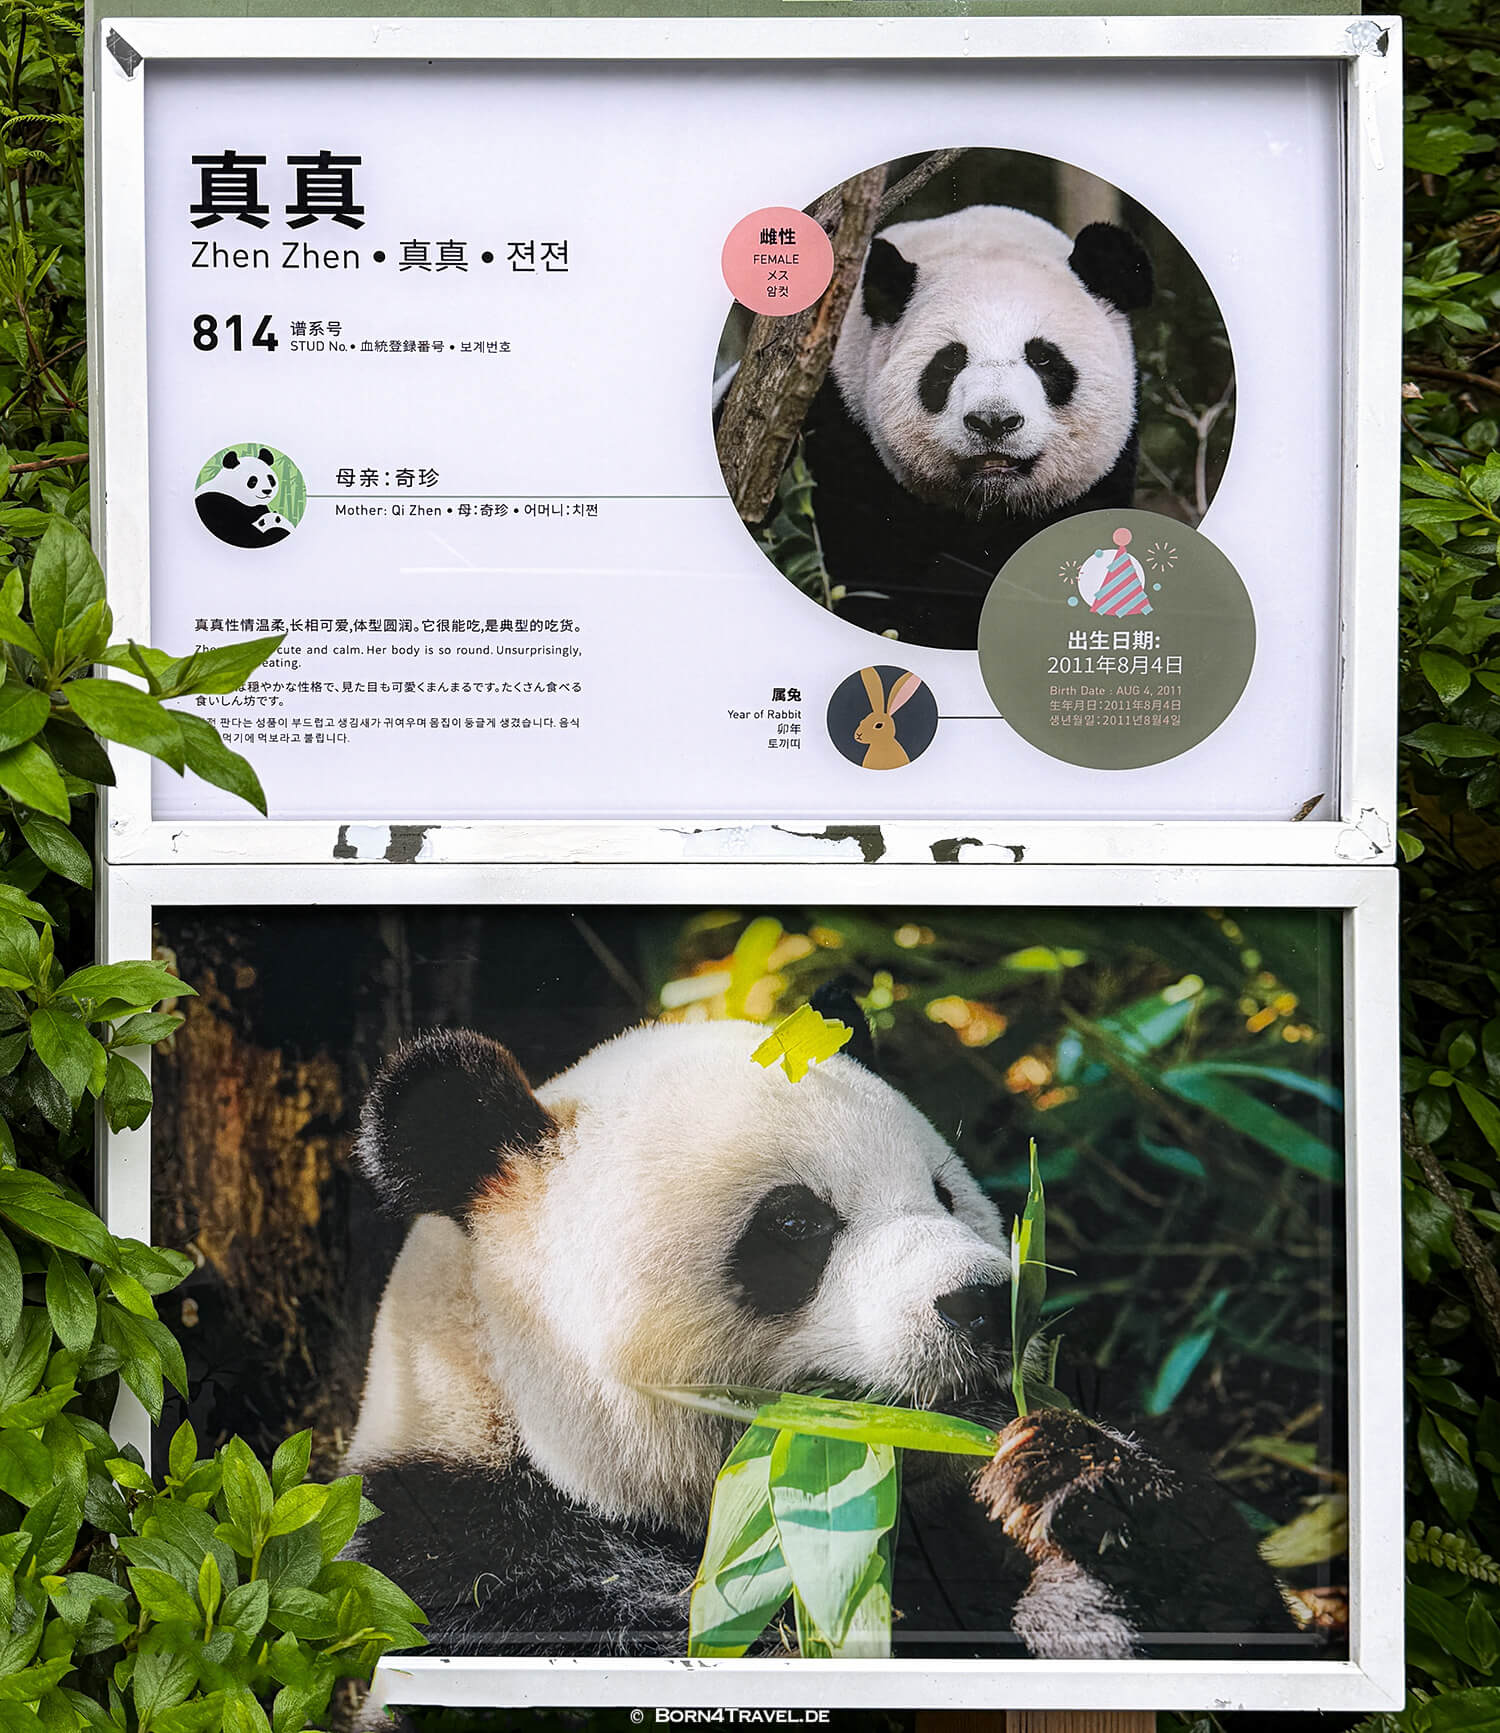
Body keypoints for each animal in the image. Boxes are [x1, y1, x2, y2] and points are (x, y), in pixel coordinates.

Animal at [802, 205, 1153, 649]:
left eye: (1042, 358)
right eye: (951, 360)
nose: (993, 421)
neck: (988, 505)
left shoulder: (1103, 479)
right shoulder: (841, 436)